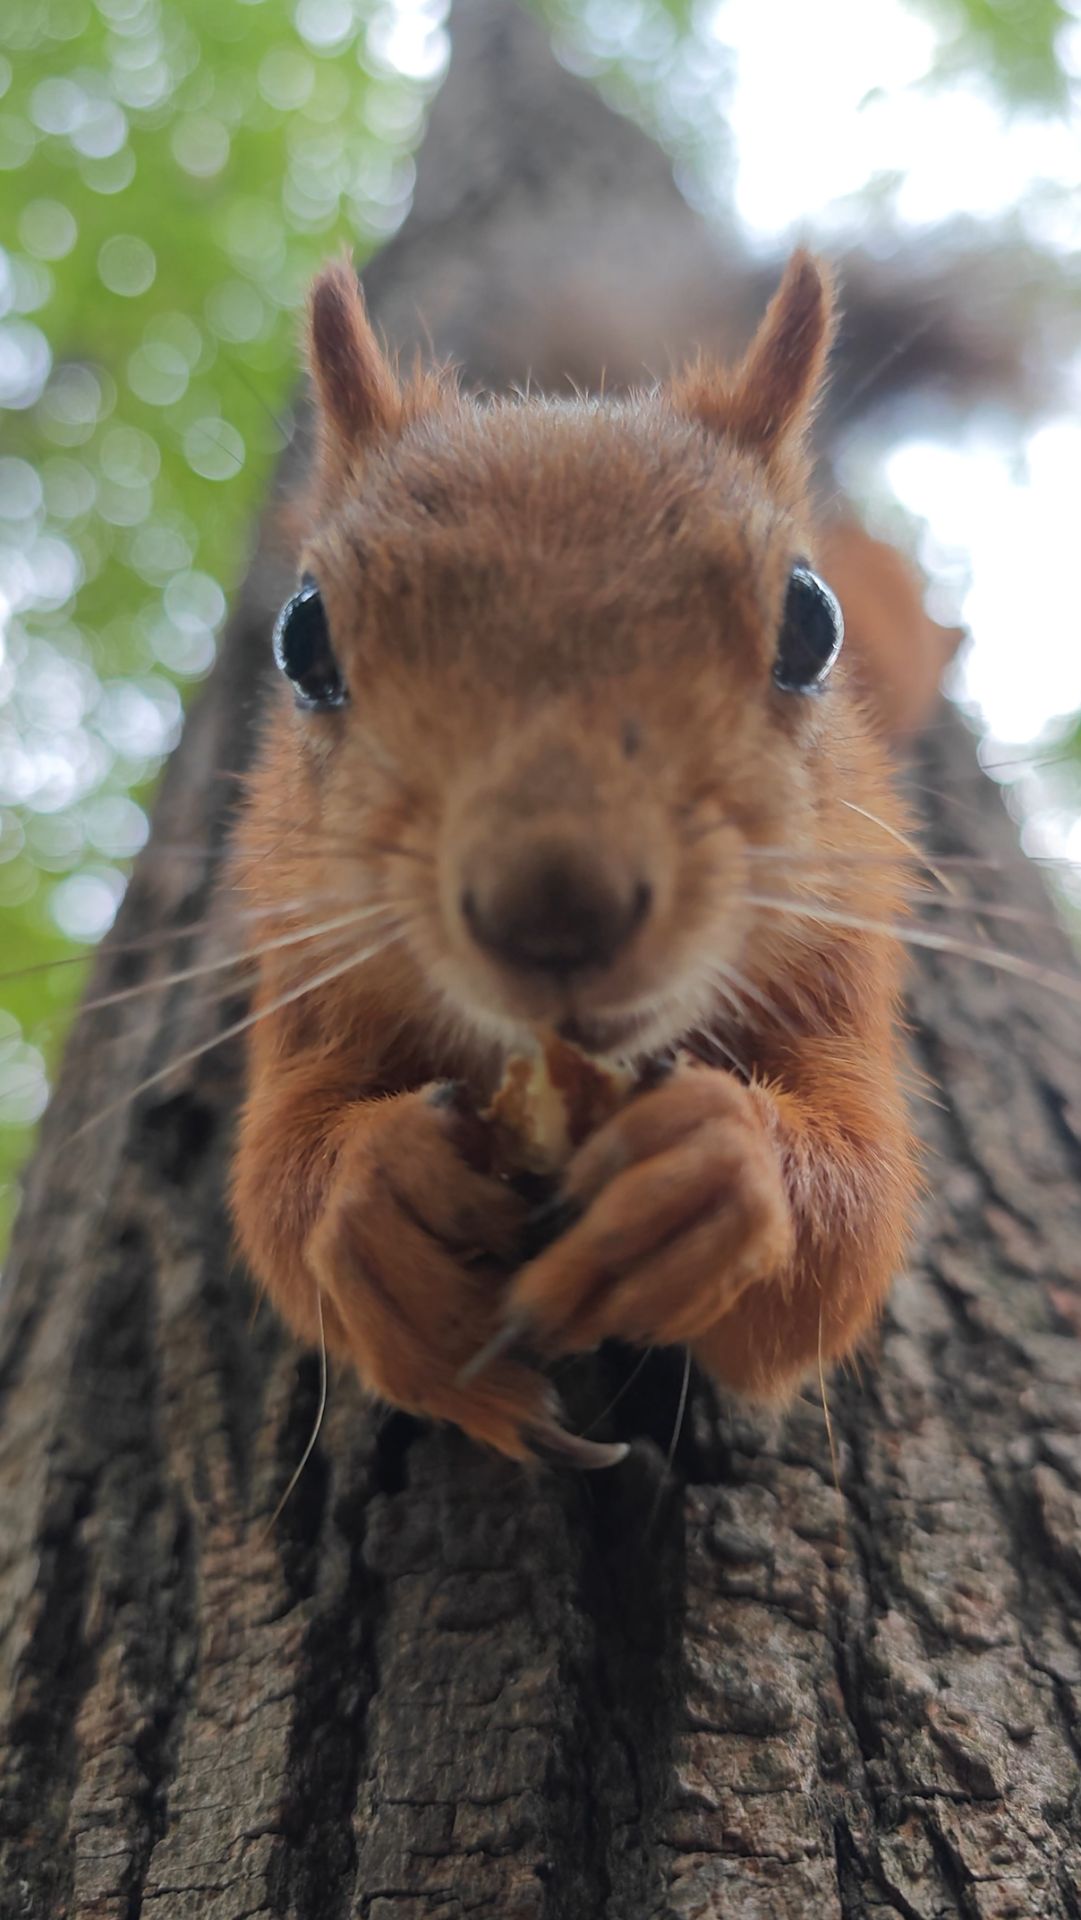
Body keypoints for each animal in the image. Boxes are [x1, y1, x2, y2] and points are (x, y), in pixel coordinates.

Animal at [228, 250, 921, 1463]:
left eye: (811, 620)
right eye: (300, 636)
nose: (554, 912)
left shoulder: (847, 949)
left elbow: (849, 1238)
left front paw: (714, 1174)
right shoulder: (302, 958)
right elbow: (274, 1187)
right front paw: (374, 1207)